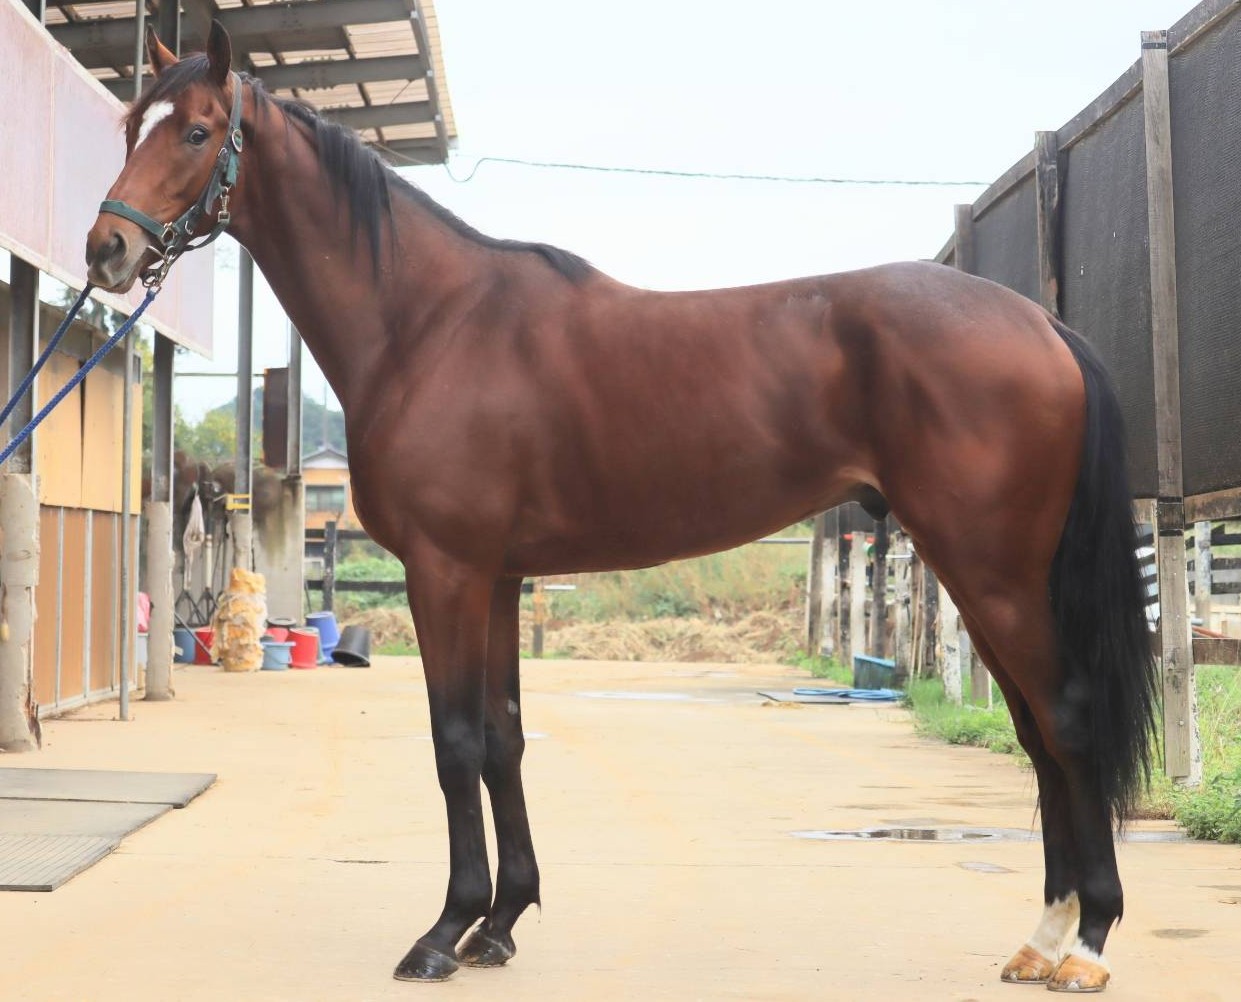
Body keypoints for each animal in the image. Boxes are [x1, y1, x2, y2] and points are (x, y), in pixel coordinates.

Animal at [85, 23, 1156, 993]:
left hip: (992, 571)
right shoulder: (501, 577)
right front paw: (501, 924)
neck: (429, 324)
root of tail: (1042, 325)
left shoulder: (446, 570)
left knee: (1064, 722)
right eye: (133, 122)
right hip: (984, 576)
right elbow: (505, 737)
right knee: (1037, 733)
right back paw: (1042, 938)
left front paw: (443, 933)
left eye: (195, 131)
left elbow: (455, 741)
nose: (106, 248)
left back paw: (1086, 944)